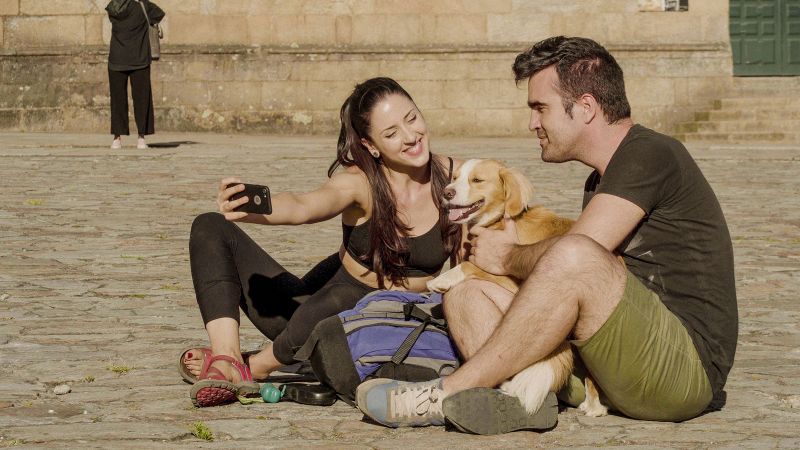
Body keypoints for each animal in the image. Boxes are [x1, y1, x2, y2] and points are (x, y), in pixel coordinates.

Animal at [432, 158, 608, 418]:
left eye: (477, 180)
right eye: (454, 178)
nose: (447, 193)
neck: (498, 220)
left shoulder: (512, 276)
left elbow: (472, 265)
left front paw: (442, 279)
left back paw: (595, 407)